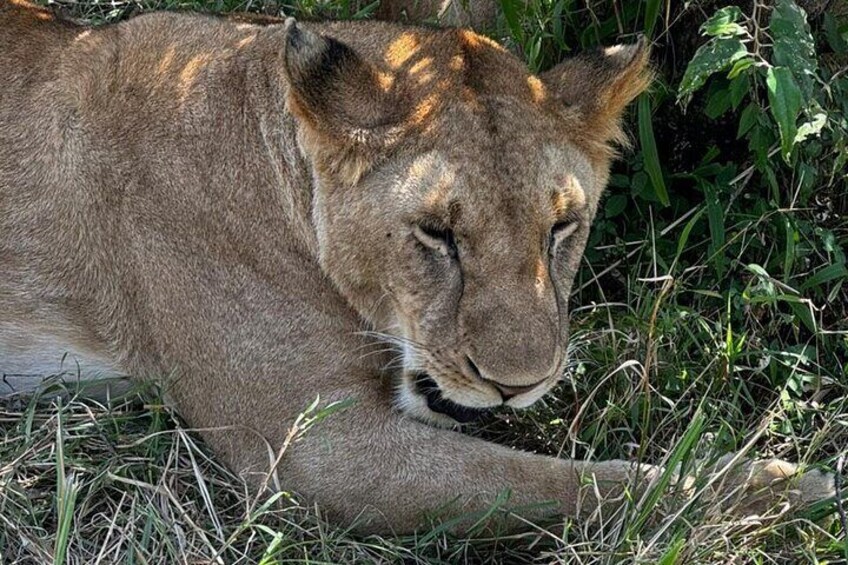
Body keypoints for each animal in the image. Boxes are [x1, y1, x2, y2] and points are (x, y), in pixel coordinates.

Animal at [0, 0, 835, 533]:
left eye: (562, 225)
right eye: (437, 234)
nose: (519, 383)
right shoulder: (310, 449)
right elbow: (555, 480)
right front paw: (785, 489)